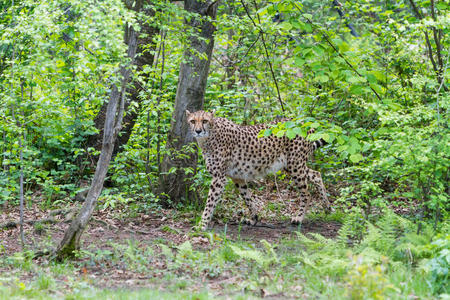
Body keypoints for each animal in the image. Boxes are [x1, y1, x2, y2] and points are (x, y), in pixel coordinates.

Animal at [186, 110, 330, 230]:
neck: (208, 137)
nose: (198, 131)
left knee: (306, 193)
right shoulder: (237, 176)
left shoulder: (218, 177)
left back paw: (299, 217)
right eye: (192, 121)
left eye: (205, 121)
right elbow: (247, 198)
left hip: (295, 165)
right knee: (316, 174)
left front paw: (202, 224)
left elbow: (210, 203)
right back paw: (327, 207)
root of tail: (301, 123)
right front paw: (254, 218)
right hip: (291, 165)